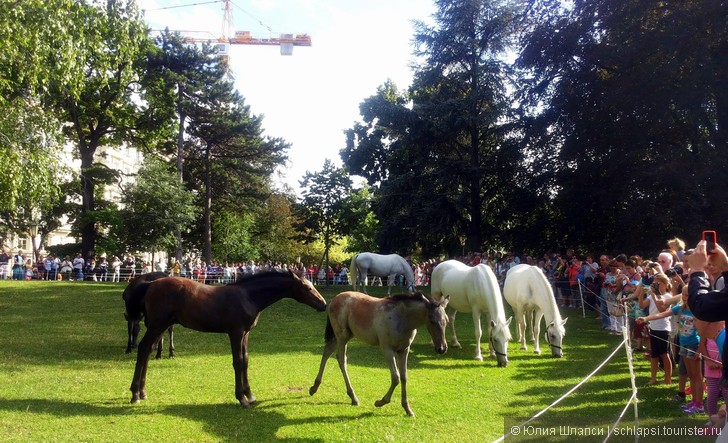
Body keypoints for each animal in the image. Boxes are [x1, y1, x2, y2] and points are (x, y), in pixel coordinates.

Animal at [129, 268, 326, 408]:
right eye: (307, 287)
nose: (323, 304)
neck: (249, 297)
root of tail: (150, 284)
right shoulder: (235, 332)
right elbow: (237, 362)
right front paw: (242, 398)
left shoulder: (245, 334)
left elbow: (245, 360)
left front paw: (250, 395)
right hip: (157, 325)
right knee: (143, 348)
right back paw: (135, 394)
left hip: (161, 326)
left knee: (148, 350)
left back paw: (142, 392)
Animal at [308, 292, 450, 416]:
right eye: (432, 320)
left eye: (447, 321)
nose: (442, 348)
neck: (402, 318)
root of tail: (334, 299)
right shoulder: (387, 348)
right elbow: (396, 377)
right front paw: (381, 402)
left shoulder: (404, 350)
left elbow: (404, 377)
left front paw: (407, 409)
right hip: (342, 337)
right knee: (341, 359)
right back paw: (353, 397)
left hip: (343, 336)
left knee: (327, 352)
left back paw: (314, 387)